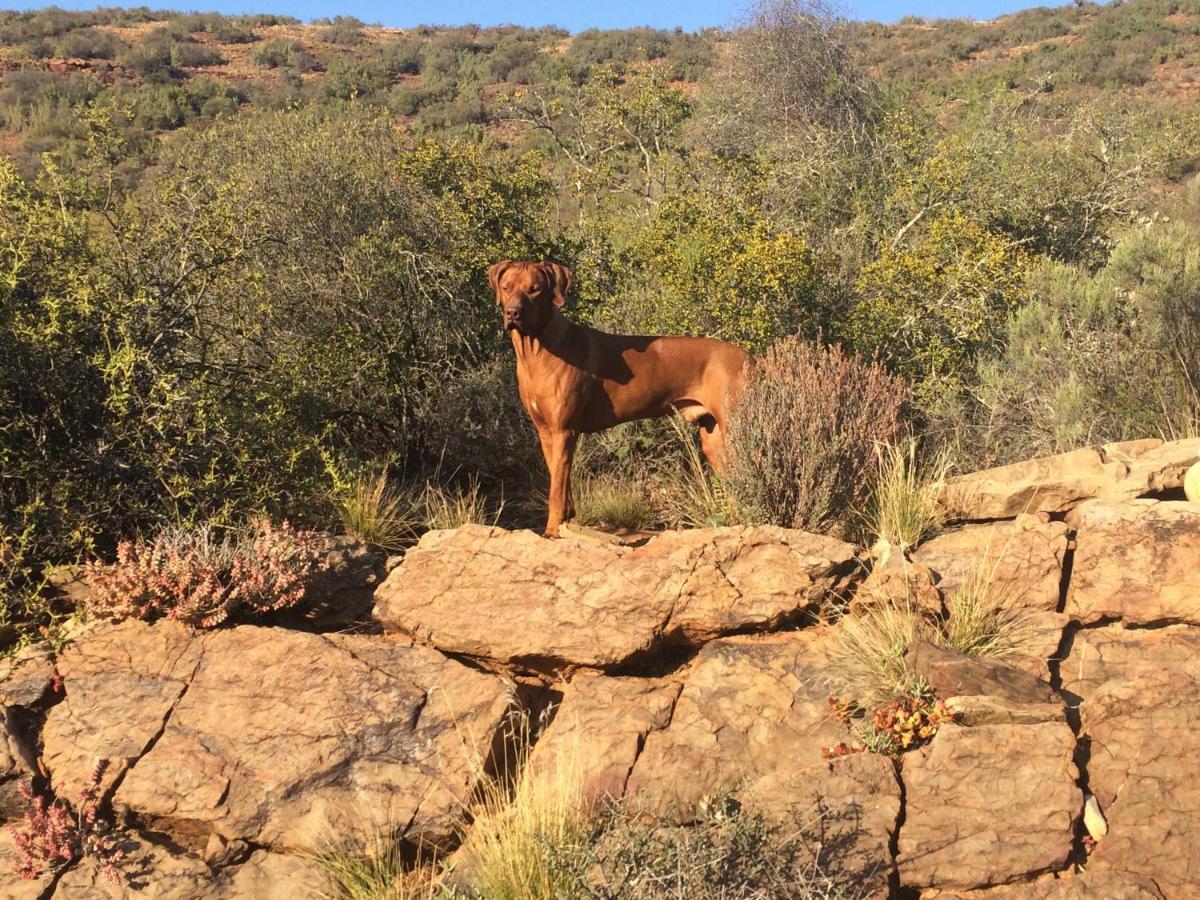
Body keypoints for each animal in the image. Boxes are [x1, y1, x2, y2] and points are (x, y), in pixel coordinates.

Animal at [487, 260, 748, 535]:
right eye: (506, 287)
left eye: (535, 289)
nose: (512, 313)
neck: (537, 350)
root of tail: (751, 358)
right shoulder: (547, 432)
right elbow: (562, 484)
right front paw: (566, 521)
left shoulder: (563, 431)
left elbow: (556, 491)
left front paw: (552, 531)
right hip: (713, 439)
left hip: (734, 428)